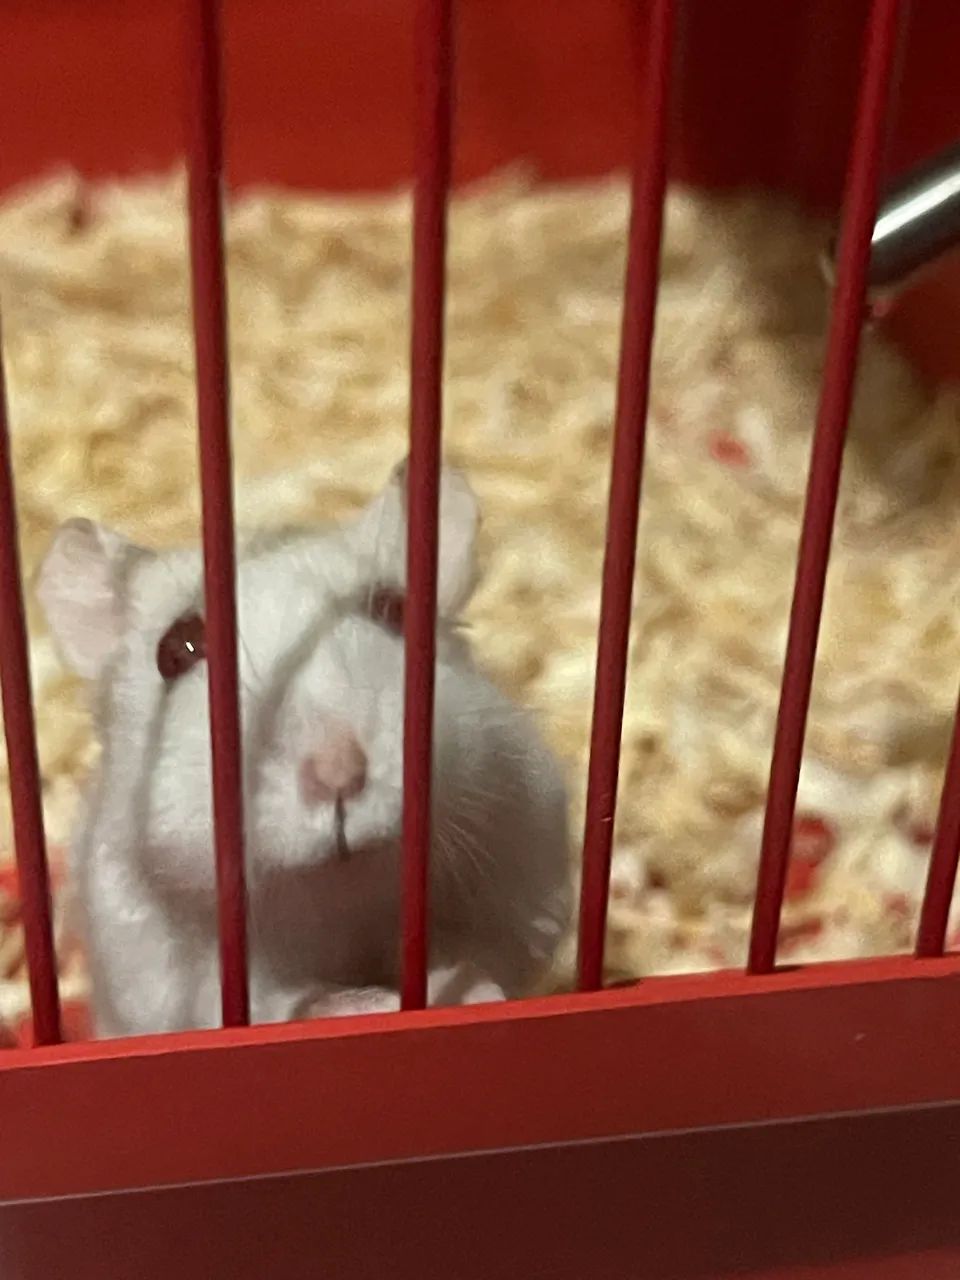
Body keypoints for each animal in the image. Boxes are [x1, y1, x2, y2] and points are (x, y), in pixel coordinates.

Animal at [36, 461, 571, 1036]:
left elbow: (481, 952)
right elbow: (287, 1001)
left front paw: (465, 993)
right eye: (176, 650)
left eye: (395, 610)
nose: (339, 774)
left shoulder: (523, 869)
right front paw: (368, 1004)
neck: (340, 893)